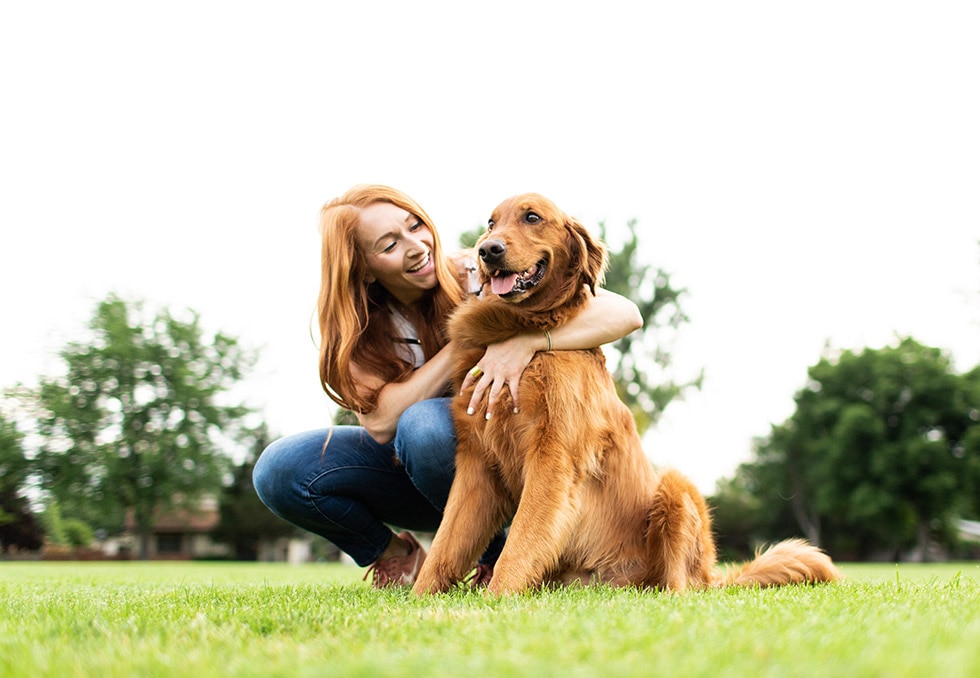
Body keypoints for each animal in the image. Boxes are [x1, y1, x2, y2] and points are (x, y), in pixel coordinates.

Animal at [414, 194, 844, 596]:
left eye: (532, 217)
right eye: (491, 223)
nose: (488, 250)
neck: (519, 332)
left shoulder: (554, 456)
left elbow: (519, 541)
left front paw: (497, 597)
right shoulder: (477, 462)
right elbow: (445, 544)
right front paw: (418, 599)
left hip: (676, 490)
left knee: (680, 587)